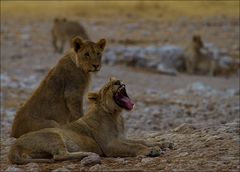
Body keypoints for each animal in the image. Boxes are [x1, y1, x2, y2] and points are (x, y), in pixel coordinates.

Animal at [8, 77, 163, 165]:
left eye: (116, 81)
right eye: (108, 87)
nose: (118, 82)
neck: (116, 115)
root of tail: (14, 147)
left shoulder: (120, 137)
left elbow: (140, 140)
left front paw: (161, 144)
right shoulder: (109, 145)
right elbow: (134, 146)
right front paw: (150, 150)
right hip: (53, 135)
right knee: (59, 156)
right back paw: (88, 154)